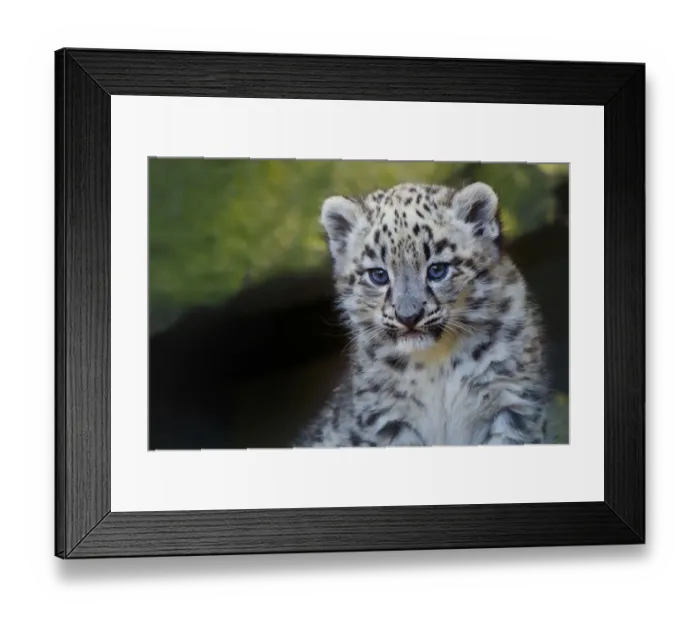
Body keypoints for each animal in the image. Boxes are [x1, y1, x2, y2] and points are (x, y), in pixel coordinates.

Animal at [293, 181, 551, 448]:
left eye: (437, 269)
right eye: (378, 275)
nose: (409, 317)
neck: (437, 360)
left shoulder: (513, 401)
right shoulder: (388, 419)